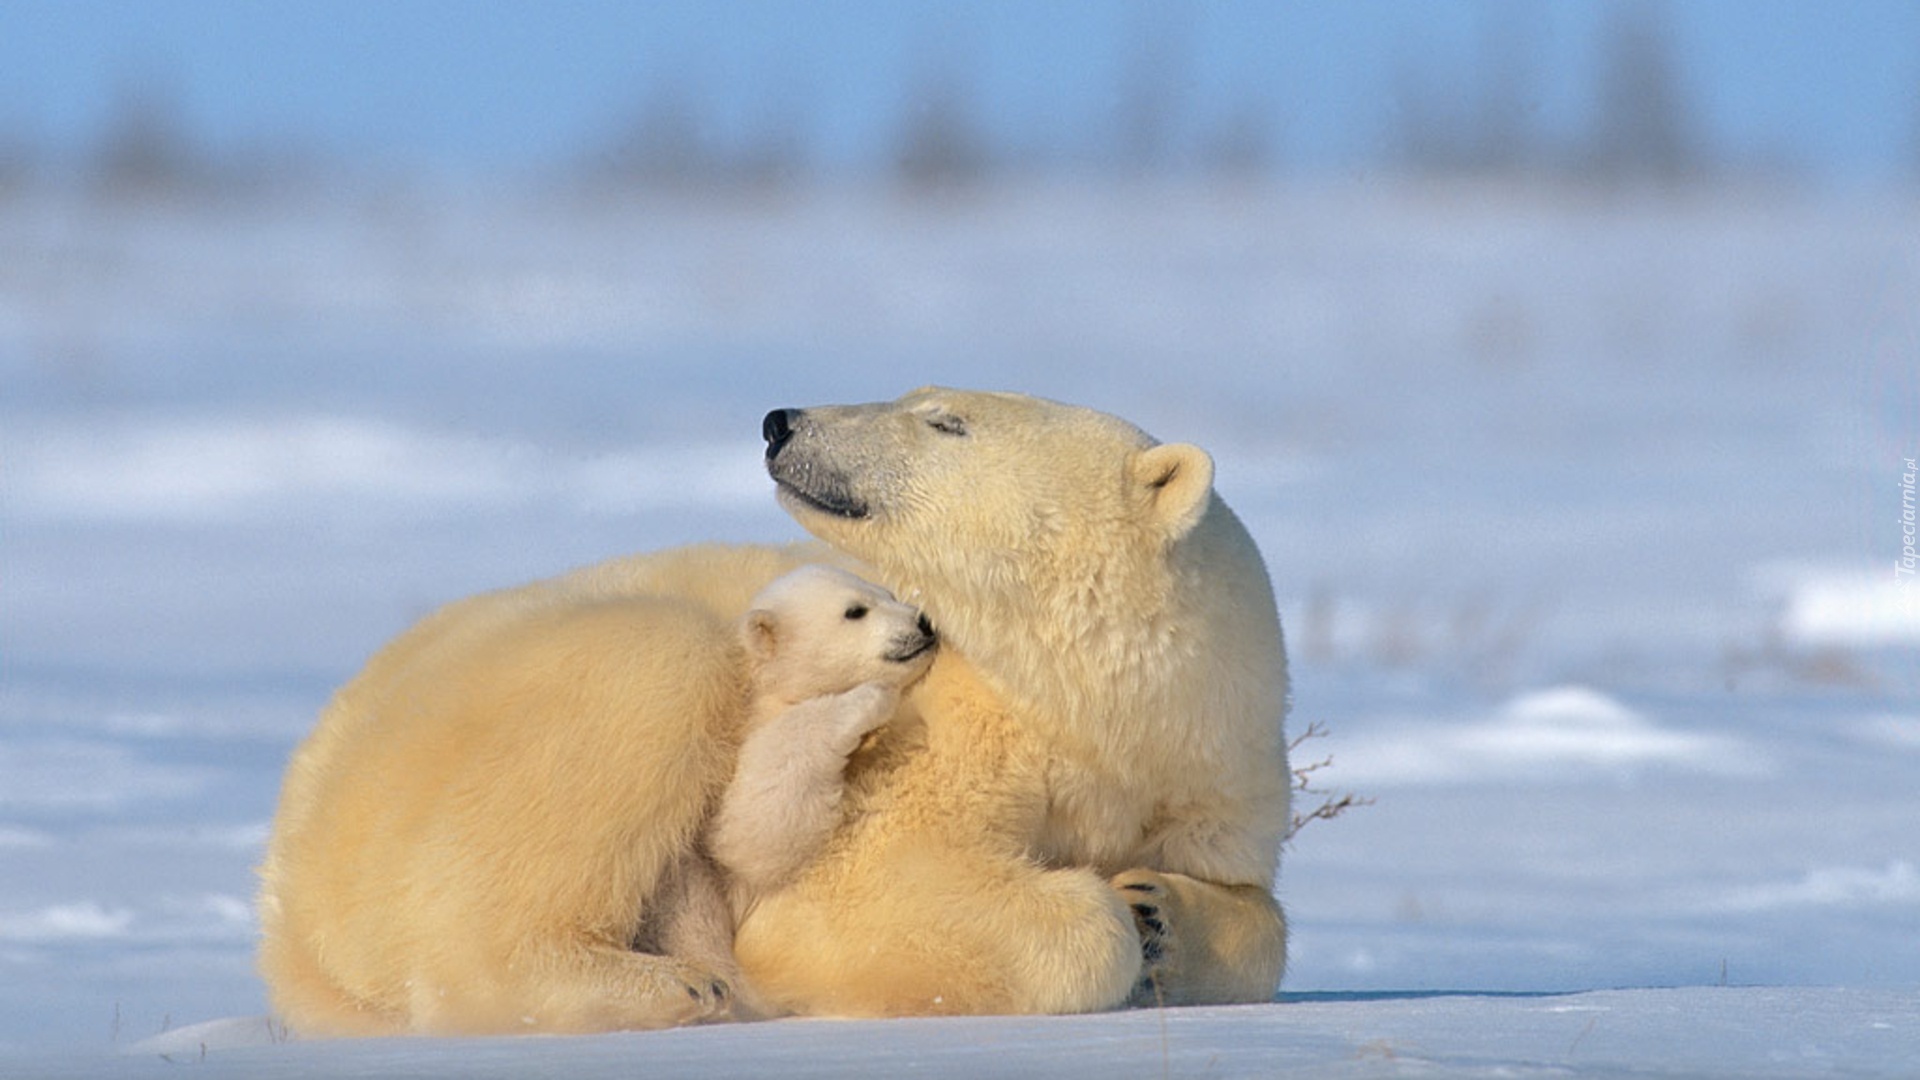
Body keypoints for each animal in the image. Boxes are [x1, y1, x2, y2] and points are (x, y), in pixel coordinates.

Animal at [255, 386, 1290, 1022]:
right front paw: (1109, 917)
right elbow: (855, 892)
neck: (1101, 710)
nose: (782, 419)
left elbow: (1260, 917)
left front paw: (1159, 909)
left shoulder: (1218, 767)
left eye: (945, 421)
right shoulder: (927, 733)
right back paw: (676, 988)